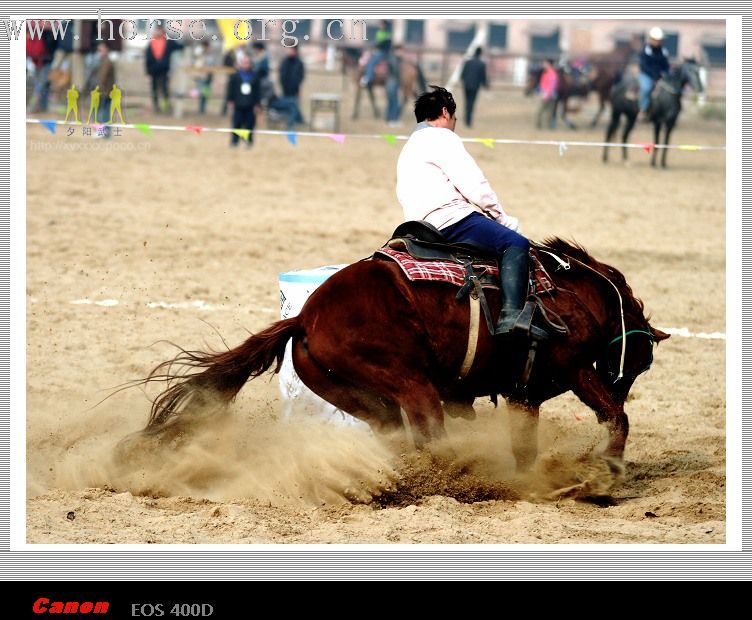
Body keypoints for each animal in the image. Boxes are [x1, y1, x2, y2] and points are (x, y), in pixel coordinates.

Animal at [125, 234, 668, 484]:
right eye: (640, 362)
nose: (622, 381)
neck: (581, 293)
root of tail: (306, 318)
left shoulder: (523, 396)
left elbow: (525, 448)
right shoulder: (576, 369)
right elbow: (616, 418)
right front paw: (609, 471)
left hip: (367, 398)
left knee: (399, 439)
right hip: (414, 387)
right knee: (430, 440)